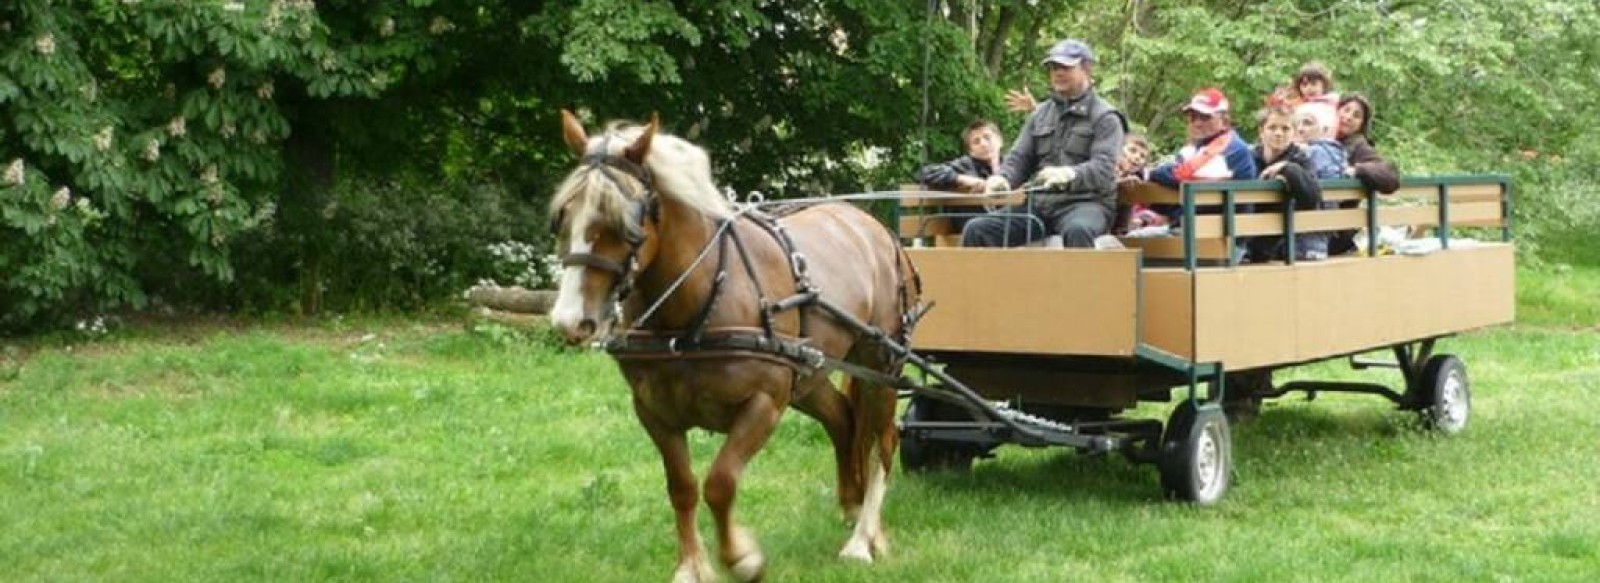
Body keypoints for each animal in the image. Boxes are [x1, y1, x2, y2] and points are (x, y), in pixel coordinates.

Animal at [550, 110, 928, 583]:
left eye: (624, 226)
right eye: (562, 218)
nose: (569, 320)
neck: (700, 300)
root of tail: (874, 228)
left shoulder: (764, 403)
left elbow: (720, 482)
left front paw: (741, 558)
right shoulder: (654, 411)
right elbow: (682, 487)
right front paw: (692, 566)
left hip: (880, 364)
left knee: (882, 441)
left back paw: (863, 538)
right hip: (809, 373)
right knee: (843, 420)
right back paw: (851, 505)